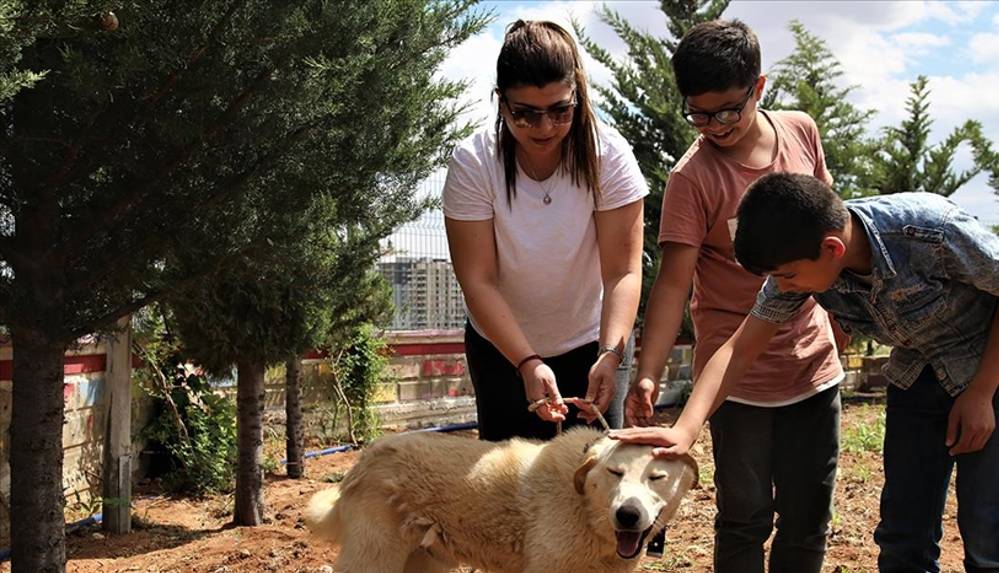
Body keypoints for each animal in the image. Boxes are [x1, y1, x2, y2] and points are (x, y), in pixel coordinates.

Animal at [304, 426, 696, 568]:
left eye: (656, 477)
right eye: (615, 473)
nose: (627, 514)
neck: (584, 506)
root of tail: (366, 457)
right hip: (374, 558)